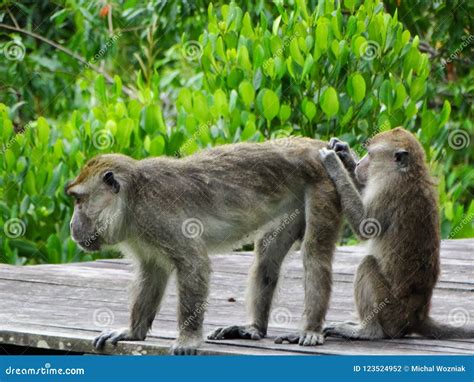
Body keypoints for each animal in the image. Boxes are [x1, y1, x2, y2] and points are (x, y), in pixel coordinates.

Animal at [65, 138, 342, 356]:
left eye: (79, 200)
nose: (71, 224)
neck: (132, 198)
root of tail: (310, 145)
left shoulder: (156, 215)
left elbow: (193, 262)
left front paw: (187, 339)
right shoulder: (141, 234)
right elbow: (152, 271)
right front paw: (132, 332)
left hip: (323, 183)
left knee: (314, 253)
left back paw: (310, 329)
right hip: (292, 202)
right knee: (267, 258)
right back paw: (253, 327)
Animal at [318, 128, 474, 340]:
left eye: (370, 155)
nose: (359, 165)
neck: (410, 172)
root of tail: (416, 317)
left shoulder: (388, 189)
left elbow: (366, 226)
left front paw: (333, 162)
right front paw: (343, 153)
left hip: (391, 311)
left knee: (368, 264)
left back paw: (367, 331)